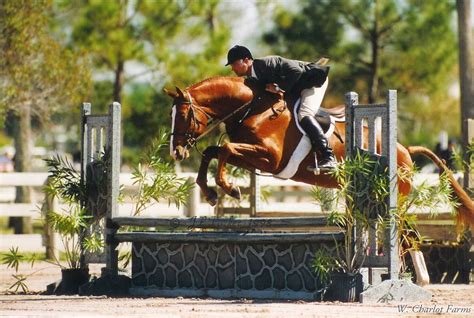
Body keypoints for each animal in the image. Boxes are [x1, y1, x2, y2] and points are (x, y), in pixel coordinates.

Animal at [164, 76, 474, 227]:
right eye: (172, 115)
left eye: (184, 115)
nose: (176, 153)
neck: (253, 107)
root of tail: (405, 150)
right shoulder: (253, 156)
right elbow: (213, 151)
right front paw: (210, 192)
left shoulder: (270, 158)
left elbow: (225, 148)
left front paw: (230, 188)